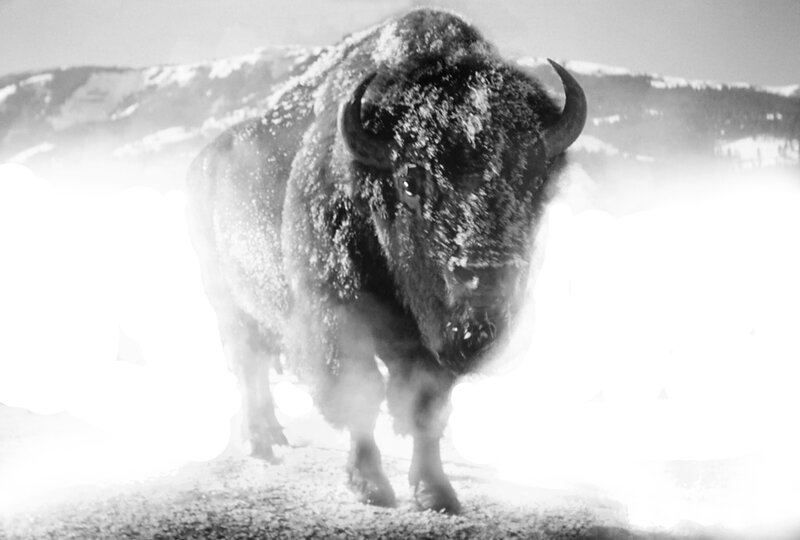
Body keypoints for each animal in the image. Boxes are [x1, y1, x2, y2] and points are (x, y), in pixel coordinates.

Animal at [187, 8, 586, 513]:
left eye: (532, 179)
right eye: (413, 181)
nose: (481, 287)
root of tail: (206, 161)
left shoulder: (427, 344)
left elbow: (425, 409)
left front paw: (436, 493)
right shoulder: (337, 315)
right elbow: (360, 394)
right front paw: (371, 485)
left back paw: (272, 436)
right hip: (228, 307)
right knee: (248, 368)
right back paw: (261, 442)